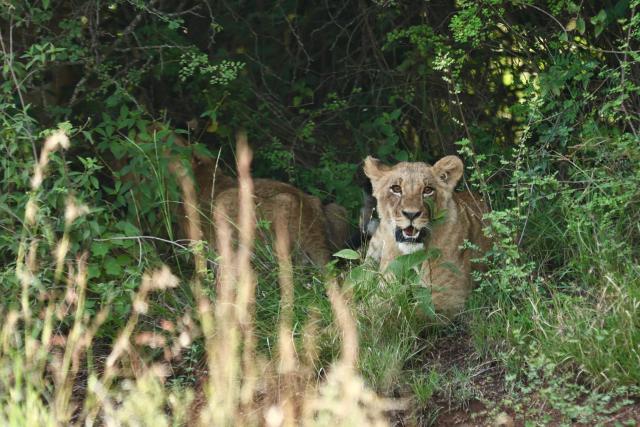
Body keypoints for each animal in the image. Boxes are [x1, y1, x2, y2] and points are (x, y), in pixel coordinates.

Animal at [363, 155, 491, 317]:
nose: (411, 214)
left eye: (427, 190)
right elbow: (368, 311)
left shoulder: (448, 296)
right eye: (396, 189)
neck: (411, 255)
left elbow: (406, 314)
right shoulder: (384, 288)